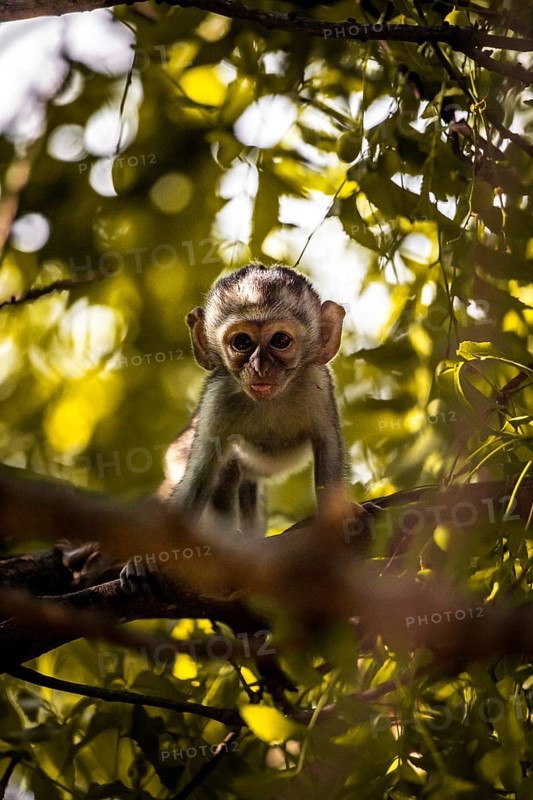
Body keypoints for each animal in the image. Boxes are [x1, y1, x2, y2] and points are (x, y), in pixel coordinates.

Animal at [120, 263, 346, 590]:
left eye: (280, 340)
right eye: (242, 343)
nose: (260, 368)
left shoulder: (317, 384)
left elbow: (328, 448)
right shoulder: (218, 398)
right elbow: (200, 476)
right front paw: (150, 557)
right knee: (225, 470)